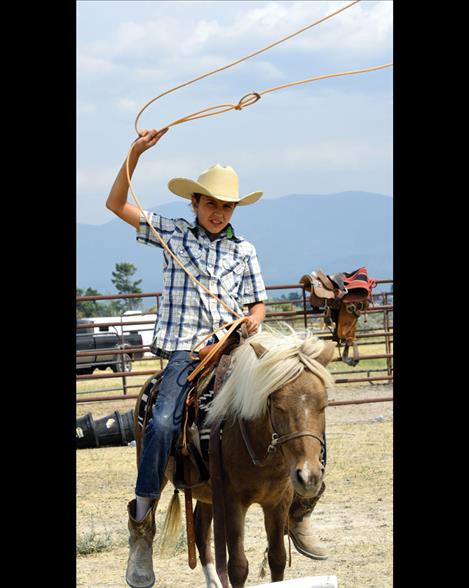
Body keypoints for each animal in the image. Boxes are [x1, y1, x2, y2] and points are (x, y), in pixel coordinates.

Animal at [133, 326, 334, 588]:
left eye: (323, 405)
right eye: (277, 404)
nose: (309, 477)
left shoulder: (278, 501)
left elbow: (277, 557)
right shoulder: (232, 501)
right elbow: (238, 566)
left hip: (207, 493)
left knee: (200, 530)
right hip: (153, 468)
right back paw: (139, 570)